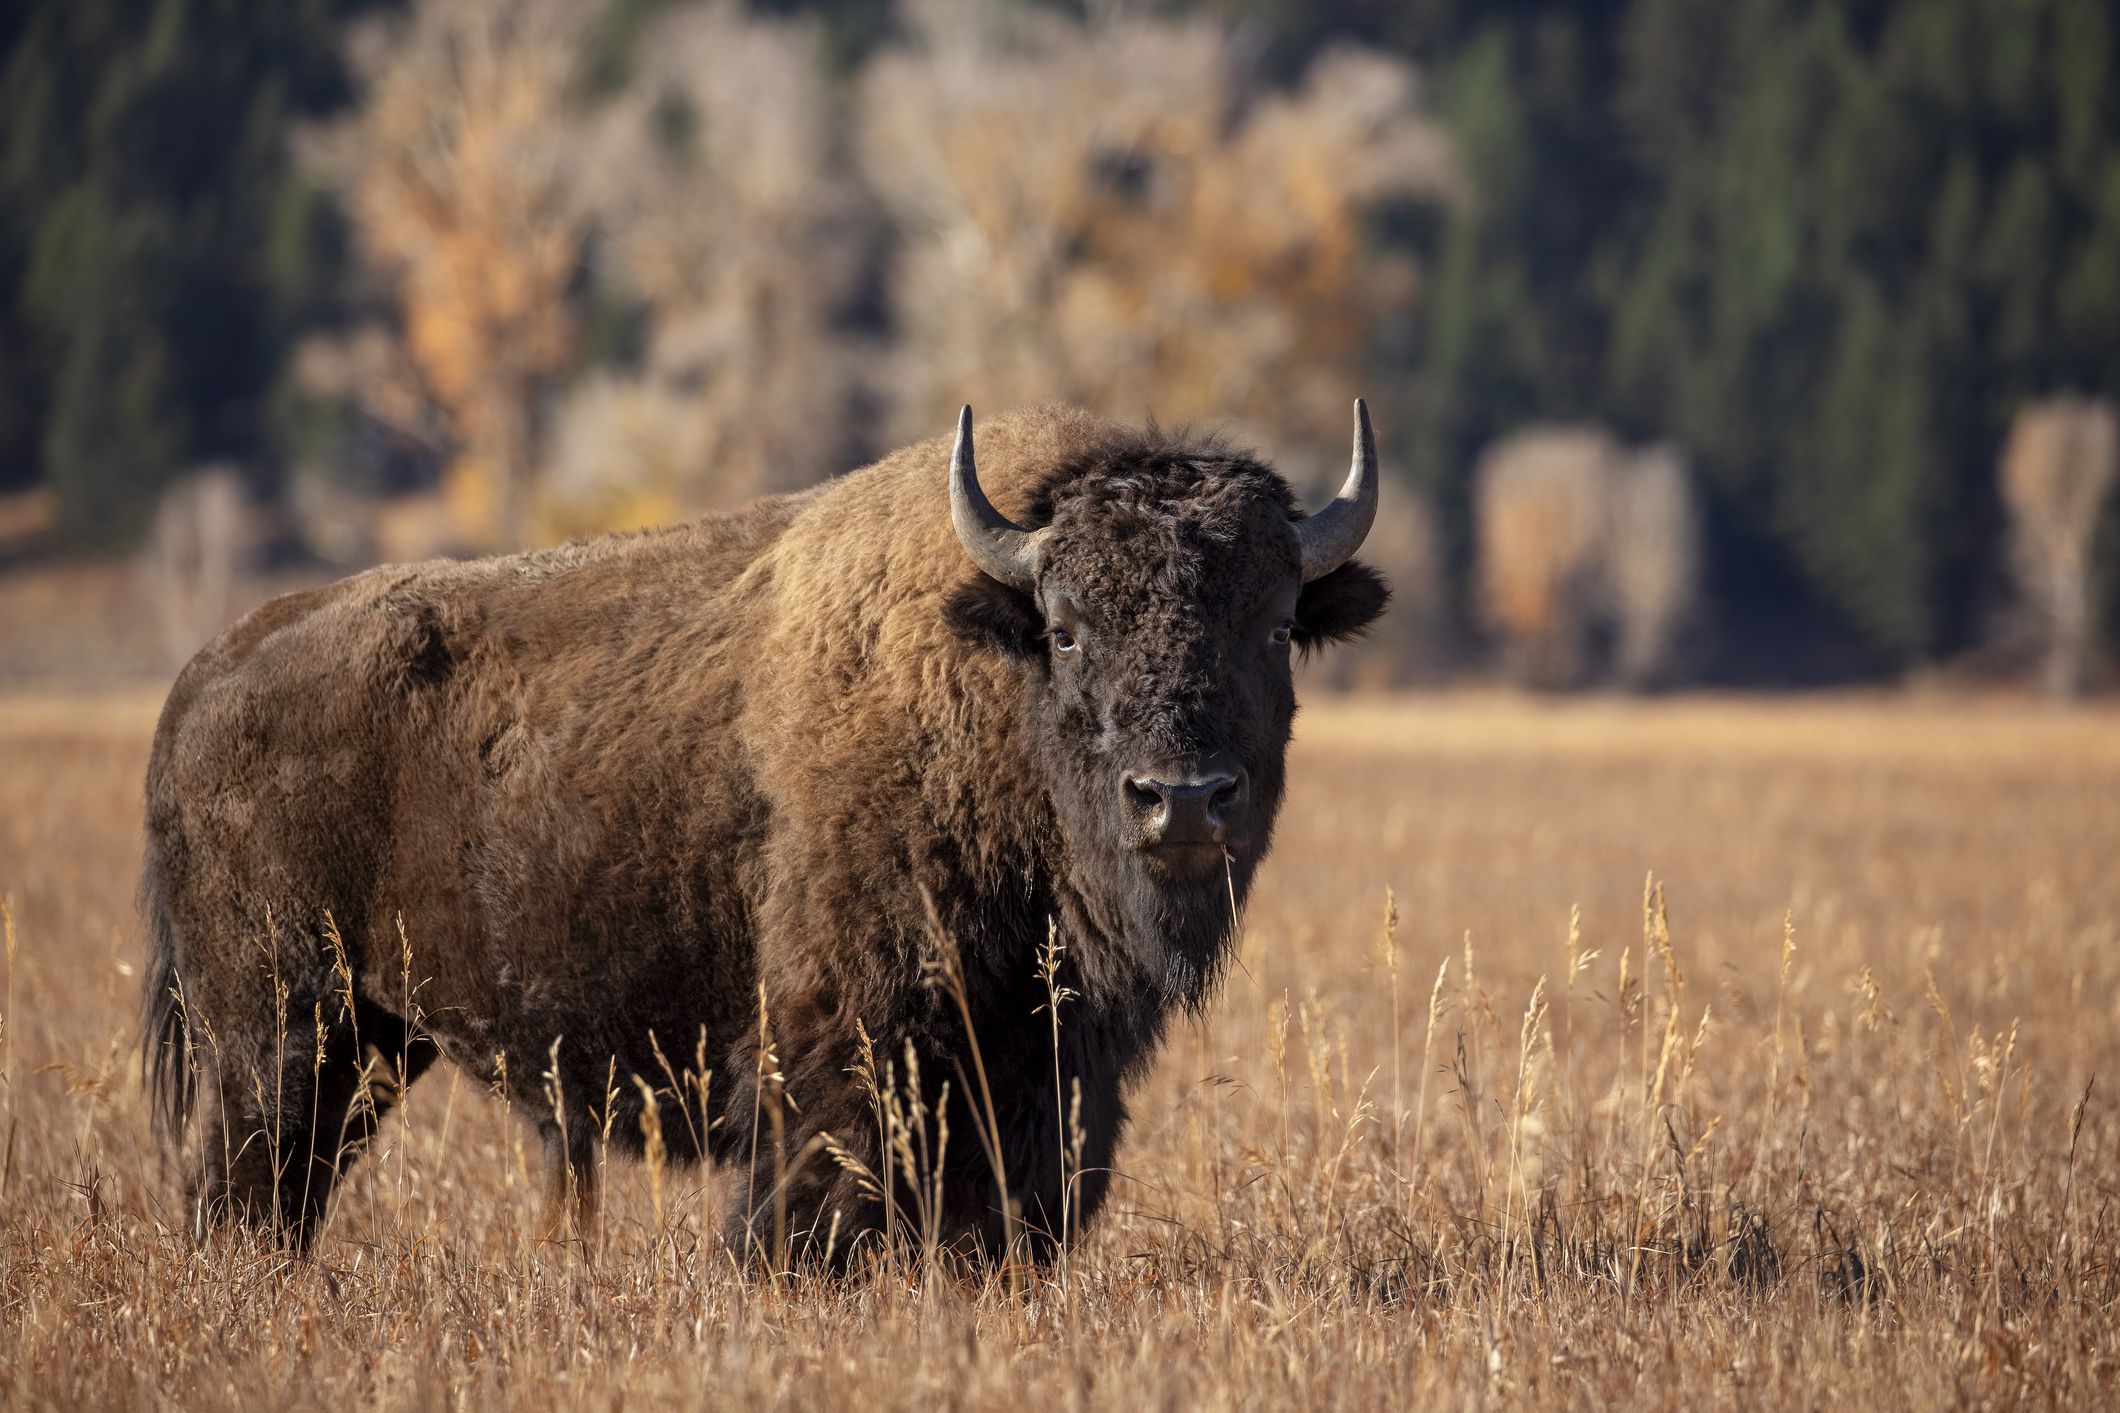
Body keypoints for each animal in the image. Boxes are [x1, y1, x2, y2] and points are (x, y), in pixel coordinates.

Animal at [136, 402, 1390, 1262]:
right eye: (1069, 626)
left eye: (1273, 625)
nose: (1180, 798)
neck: (983, 680)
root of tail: (203, 675)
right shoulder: (843, 1046)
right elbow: (810, 1209)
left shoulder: (1040, 1072)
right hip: (281, 1032)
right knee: (245, 1190)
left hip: (372, 1041)